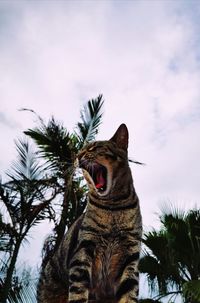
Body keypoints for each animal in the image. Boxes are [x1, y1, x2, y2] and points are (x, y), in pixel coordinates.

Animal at [37, 124, 142, 303]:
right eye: (80, 151)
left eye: (94, 148)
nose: (78, 156)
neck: (113, 206)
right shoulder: (83, 250)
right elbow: (78, 292)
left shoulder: (130, 257)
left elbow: (129, 294)